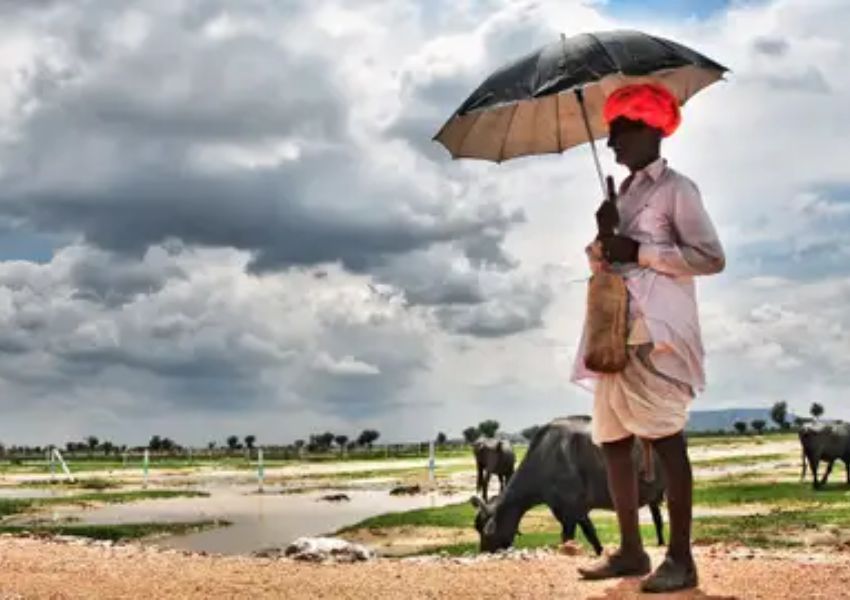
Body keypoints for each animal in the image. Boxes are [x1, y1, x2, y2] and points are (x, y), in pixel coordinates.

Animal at [470, 418, 664, 552]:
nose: (484, 552)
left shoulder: (569, 515)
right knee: (658, 519)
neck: (545, 458)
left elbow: (567, 539)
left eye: (486, 532)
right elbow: (592, 535)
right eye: (477, 529)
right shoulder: (578, 511)